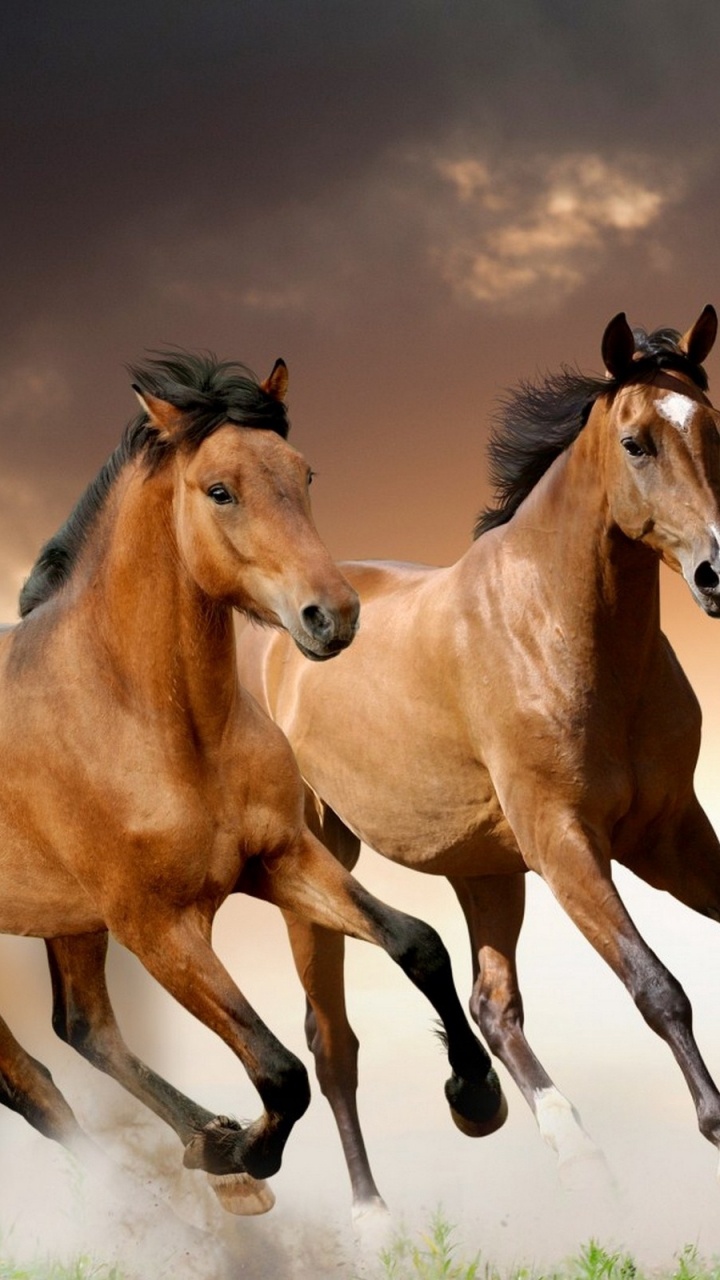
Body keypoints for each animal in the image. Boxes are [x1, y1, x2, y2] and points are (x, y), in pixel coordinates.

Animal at [1, 351, 504, 1218]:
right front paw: (245, 1151)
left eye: (304, 474)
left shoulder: (281, 859)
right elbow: (281, 1070)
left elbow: (418, 944)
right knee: (30, 1079)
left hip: (66, 918)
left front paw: (475, 1095)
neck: (149, 718)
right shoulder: (160, 927)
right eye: (219, 490)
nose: (332, 616)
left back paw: (203, 1146)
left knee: (84, 1029)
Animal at [236, 306, 720, 1215]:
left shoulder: (671, 837)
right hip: (315, 862)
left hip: (484, 867)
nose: (718, 571)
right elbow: (656, 986)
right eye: (636, 442)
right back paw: (376, 1220)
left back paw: (545, 1136)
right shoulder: (566, 843)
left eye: (715, 428)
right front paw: (717, 1123)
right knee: (334, 1043)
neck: (559, 627)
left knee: (491, 1007)